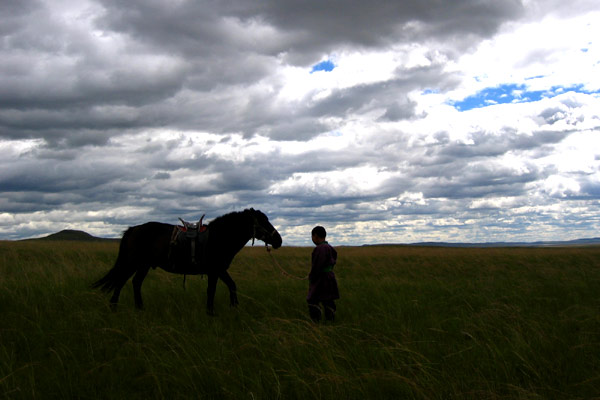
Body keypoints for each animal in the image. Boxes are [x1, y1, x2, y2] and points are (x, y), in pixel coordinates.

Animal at [92, 208, 282, 314]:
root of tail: (133, 229)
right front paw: (211, 312)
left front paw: (233, 307)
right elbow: (212, 291)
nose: (278, 240)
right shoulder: (215, 271)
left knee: (135, 283)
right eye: (263, 221)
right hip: (132, 263)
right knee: (120, 282)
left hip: (143, 265)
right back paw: (114, 308)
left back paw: (140, 308)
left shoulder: (220, 270)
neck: (219, 237)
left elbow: (231, 285)